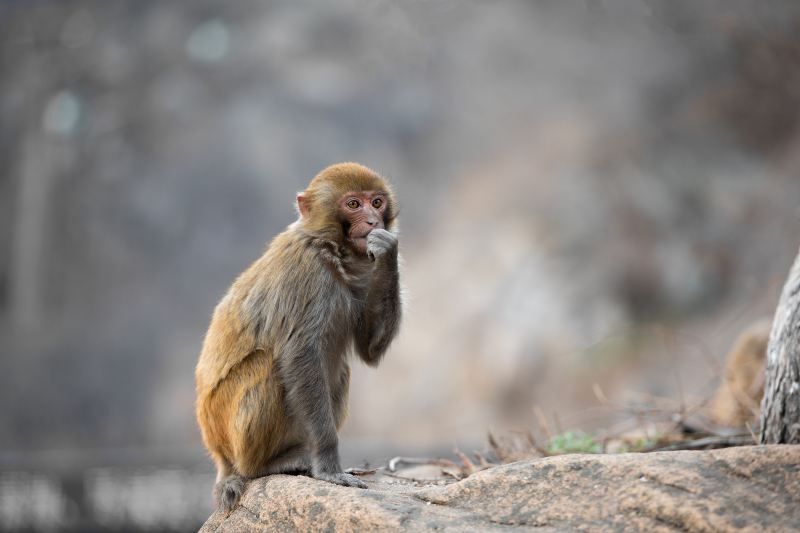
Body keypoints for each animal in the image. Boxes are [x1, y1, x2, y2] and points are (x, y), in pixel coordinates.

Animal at [197, 161, 404, 512]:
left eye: (376, 202)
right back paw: (268, 465)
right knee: (268, 364)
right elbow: (300, 356)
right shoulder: (305, 273)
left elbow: (368, 349)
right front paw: (329, 468)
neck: (330, 249)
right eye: (353, 204)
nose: (373, 221)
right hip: (228, 428)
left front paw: (388, 250)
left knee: (341, 368)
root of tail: (218, 454)